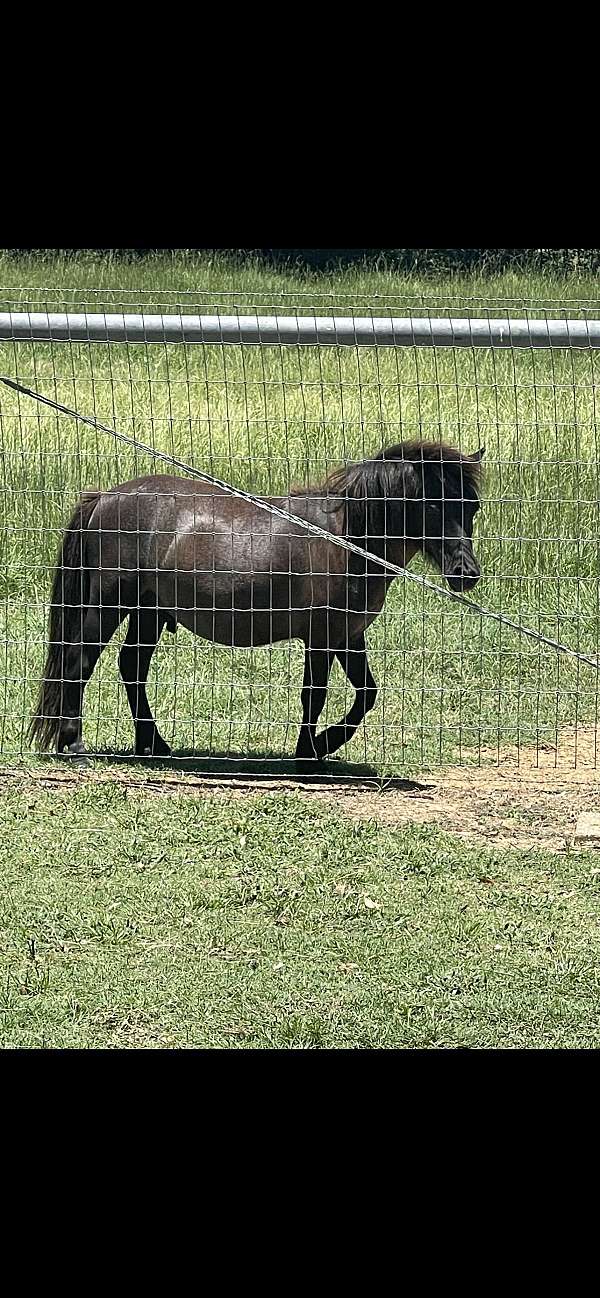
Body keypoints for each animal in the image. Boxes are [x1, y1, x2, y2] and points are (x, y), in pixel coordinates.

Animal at [30, 441, 485, 763]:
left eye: (472, 507)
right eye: (431, 504)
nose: (466, 574)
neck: (346, 540)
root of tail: (105, 497)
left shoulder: (348, 636)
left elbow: (366, 694)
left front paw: (324, 744)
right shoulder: (320, 638)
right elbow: (314, 694)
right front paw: (309, 752)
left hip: (150, 611)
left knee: (132, 668)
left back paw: (153, 743)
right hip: (109, 604)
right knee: (78, 662)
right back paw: (74, 746)